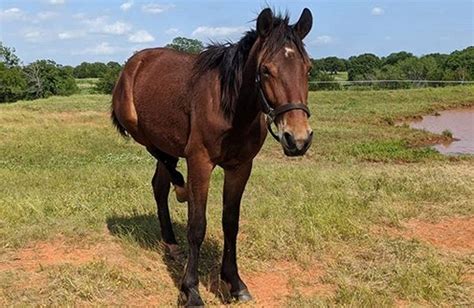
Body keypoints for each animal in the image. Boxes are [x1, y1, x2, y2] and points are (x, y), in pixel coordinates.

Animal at [109, 7, 312, 306]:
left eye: (308, 68)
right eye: (265, 70)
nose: (297, 139)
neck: (232, 109)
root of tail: (135, 61)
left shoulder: (240, 167)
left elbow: (230, 222)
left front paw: (234, 282)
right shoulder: (200, 163)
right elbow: (197, 225)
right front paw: (190, 290)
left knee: (159, 184)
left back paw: (171, 243)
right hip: (138, 128)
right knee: (160, 160)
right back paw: (181, 190)